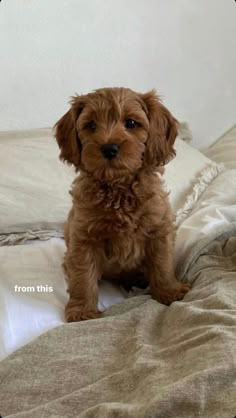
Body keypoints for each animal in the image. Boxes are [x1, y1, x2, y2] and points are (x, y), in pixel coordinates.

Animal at [54, 87, 190, 324]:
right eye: (91, 125)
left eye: (131, 123)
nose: (109, 148)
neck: (119, 189)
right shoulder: (84, 239)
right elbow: (82, 277)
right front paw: (82, 312)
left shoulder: (158, 230)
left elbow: (162, 264)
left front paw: (169, 292)